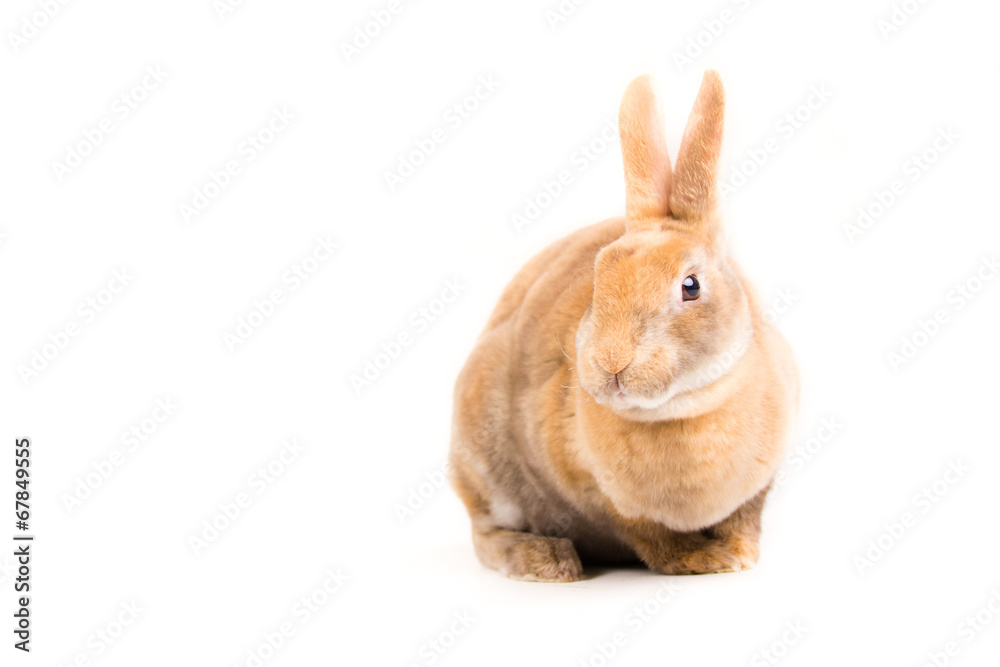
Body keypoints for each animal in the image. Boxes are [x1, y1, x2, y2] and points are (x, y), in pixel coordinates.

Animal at [449, 71, 798, 582]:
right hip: (484, 463)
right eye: (598, 277)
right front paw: (703, 559)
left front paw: (738, 555)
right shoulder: (601, 497)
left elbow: (745, 519)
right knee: (485, 534)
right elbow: (650, 537)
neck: (681, 411)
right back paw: (546, 561)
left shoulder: (758, 486)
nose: (611, 364)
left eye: (690, 286)